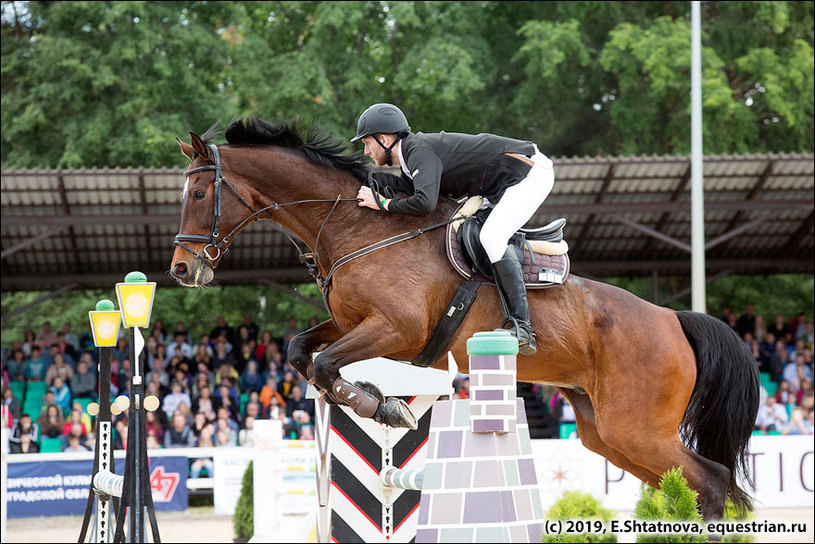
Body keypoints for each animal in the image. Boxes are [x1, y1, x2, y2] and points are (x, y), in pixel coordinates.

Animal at [169, 117, 760, 520]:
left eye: (198, 192)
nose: (181, 268)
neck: (356, 229)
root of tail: (674, 319)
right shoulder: (351, 323)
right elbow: (301, 352)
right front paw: (381, 403)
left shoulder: (396, 329)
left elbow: (324, 366)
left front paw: (383, 407)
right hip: (606, 431)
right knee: (690, 484)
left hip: (636, 426)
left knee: (710, 482)